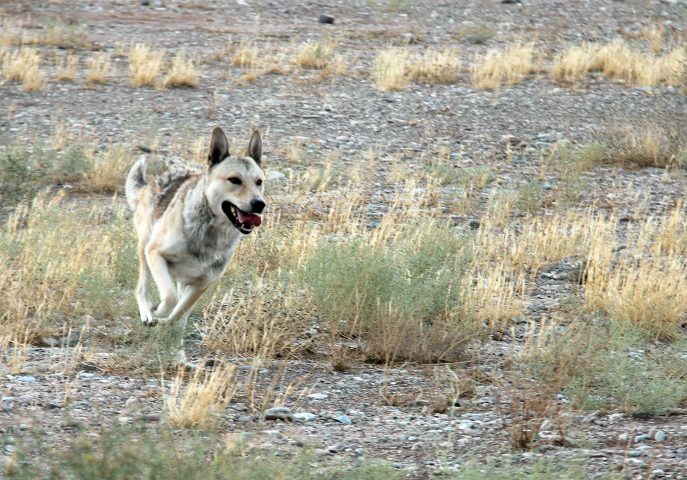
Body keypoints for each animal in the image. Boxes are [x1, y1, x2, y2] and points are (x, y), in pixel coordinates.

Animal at [123, 126, 266, 368]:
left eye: (259, 181)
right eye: (234, 180)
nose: (259, 204)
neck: (210, 232)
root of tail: (152, 183)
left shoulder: (201, 284)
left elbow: (178, 315)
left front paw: (166, 327)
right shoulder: (156, 253)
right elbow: (169, 298)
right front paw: (157, 313)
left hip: (183, 280)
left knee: (179, 316)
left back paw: (178, 357)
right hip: (144, 248)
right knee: (141, 287)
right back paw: (148, 314)